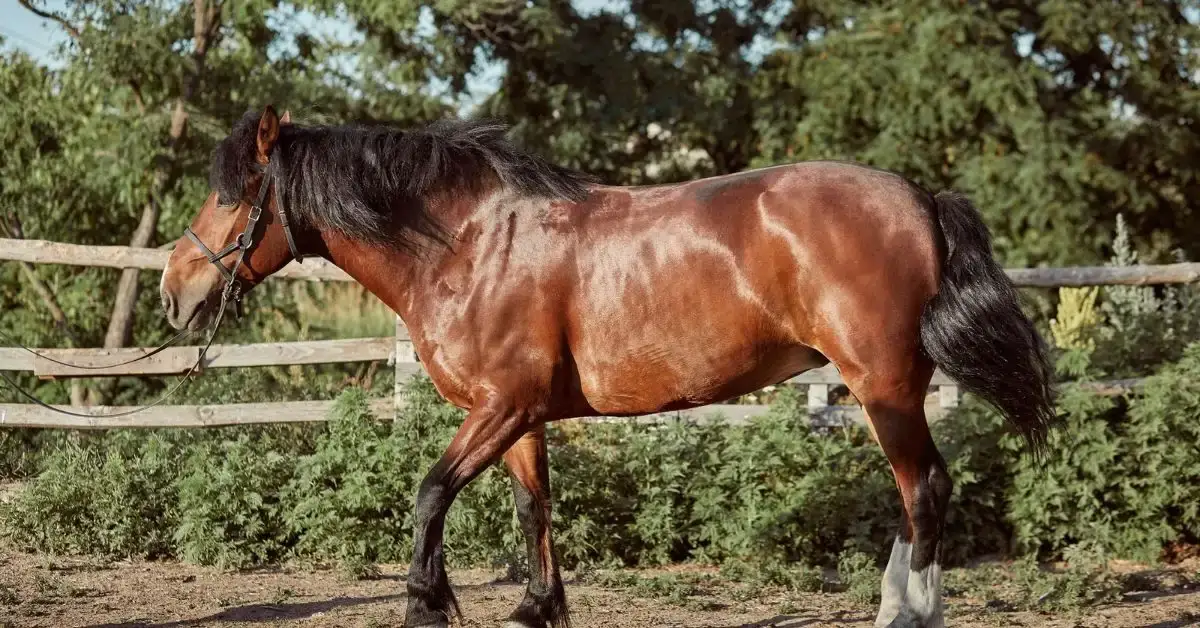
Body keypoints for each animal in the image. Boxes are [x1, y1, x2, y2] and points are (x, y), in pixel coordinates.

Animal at [160, 106, 1055, 628]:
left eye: (233, 198)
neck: (471, 243)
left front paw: (427, 606)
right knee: (918, 497)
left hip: (884, 387)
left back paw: (907, 614)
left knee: (924, 492)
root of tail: (919, 198)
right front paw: (535, 608)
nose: (175, 292)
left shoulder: (498, 409)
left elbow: (428, 498)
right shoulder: (518, 417)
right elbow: (533, 511)